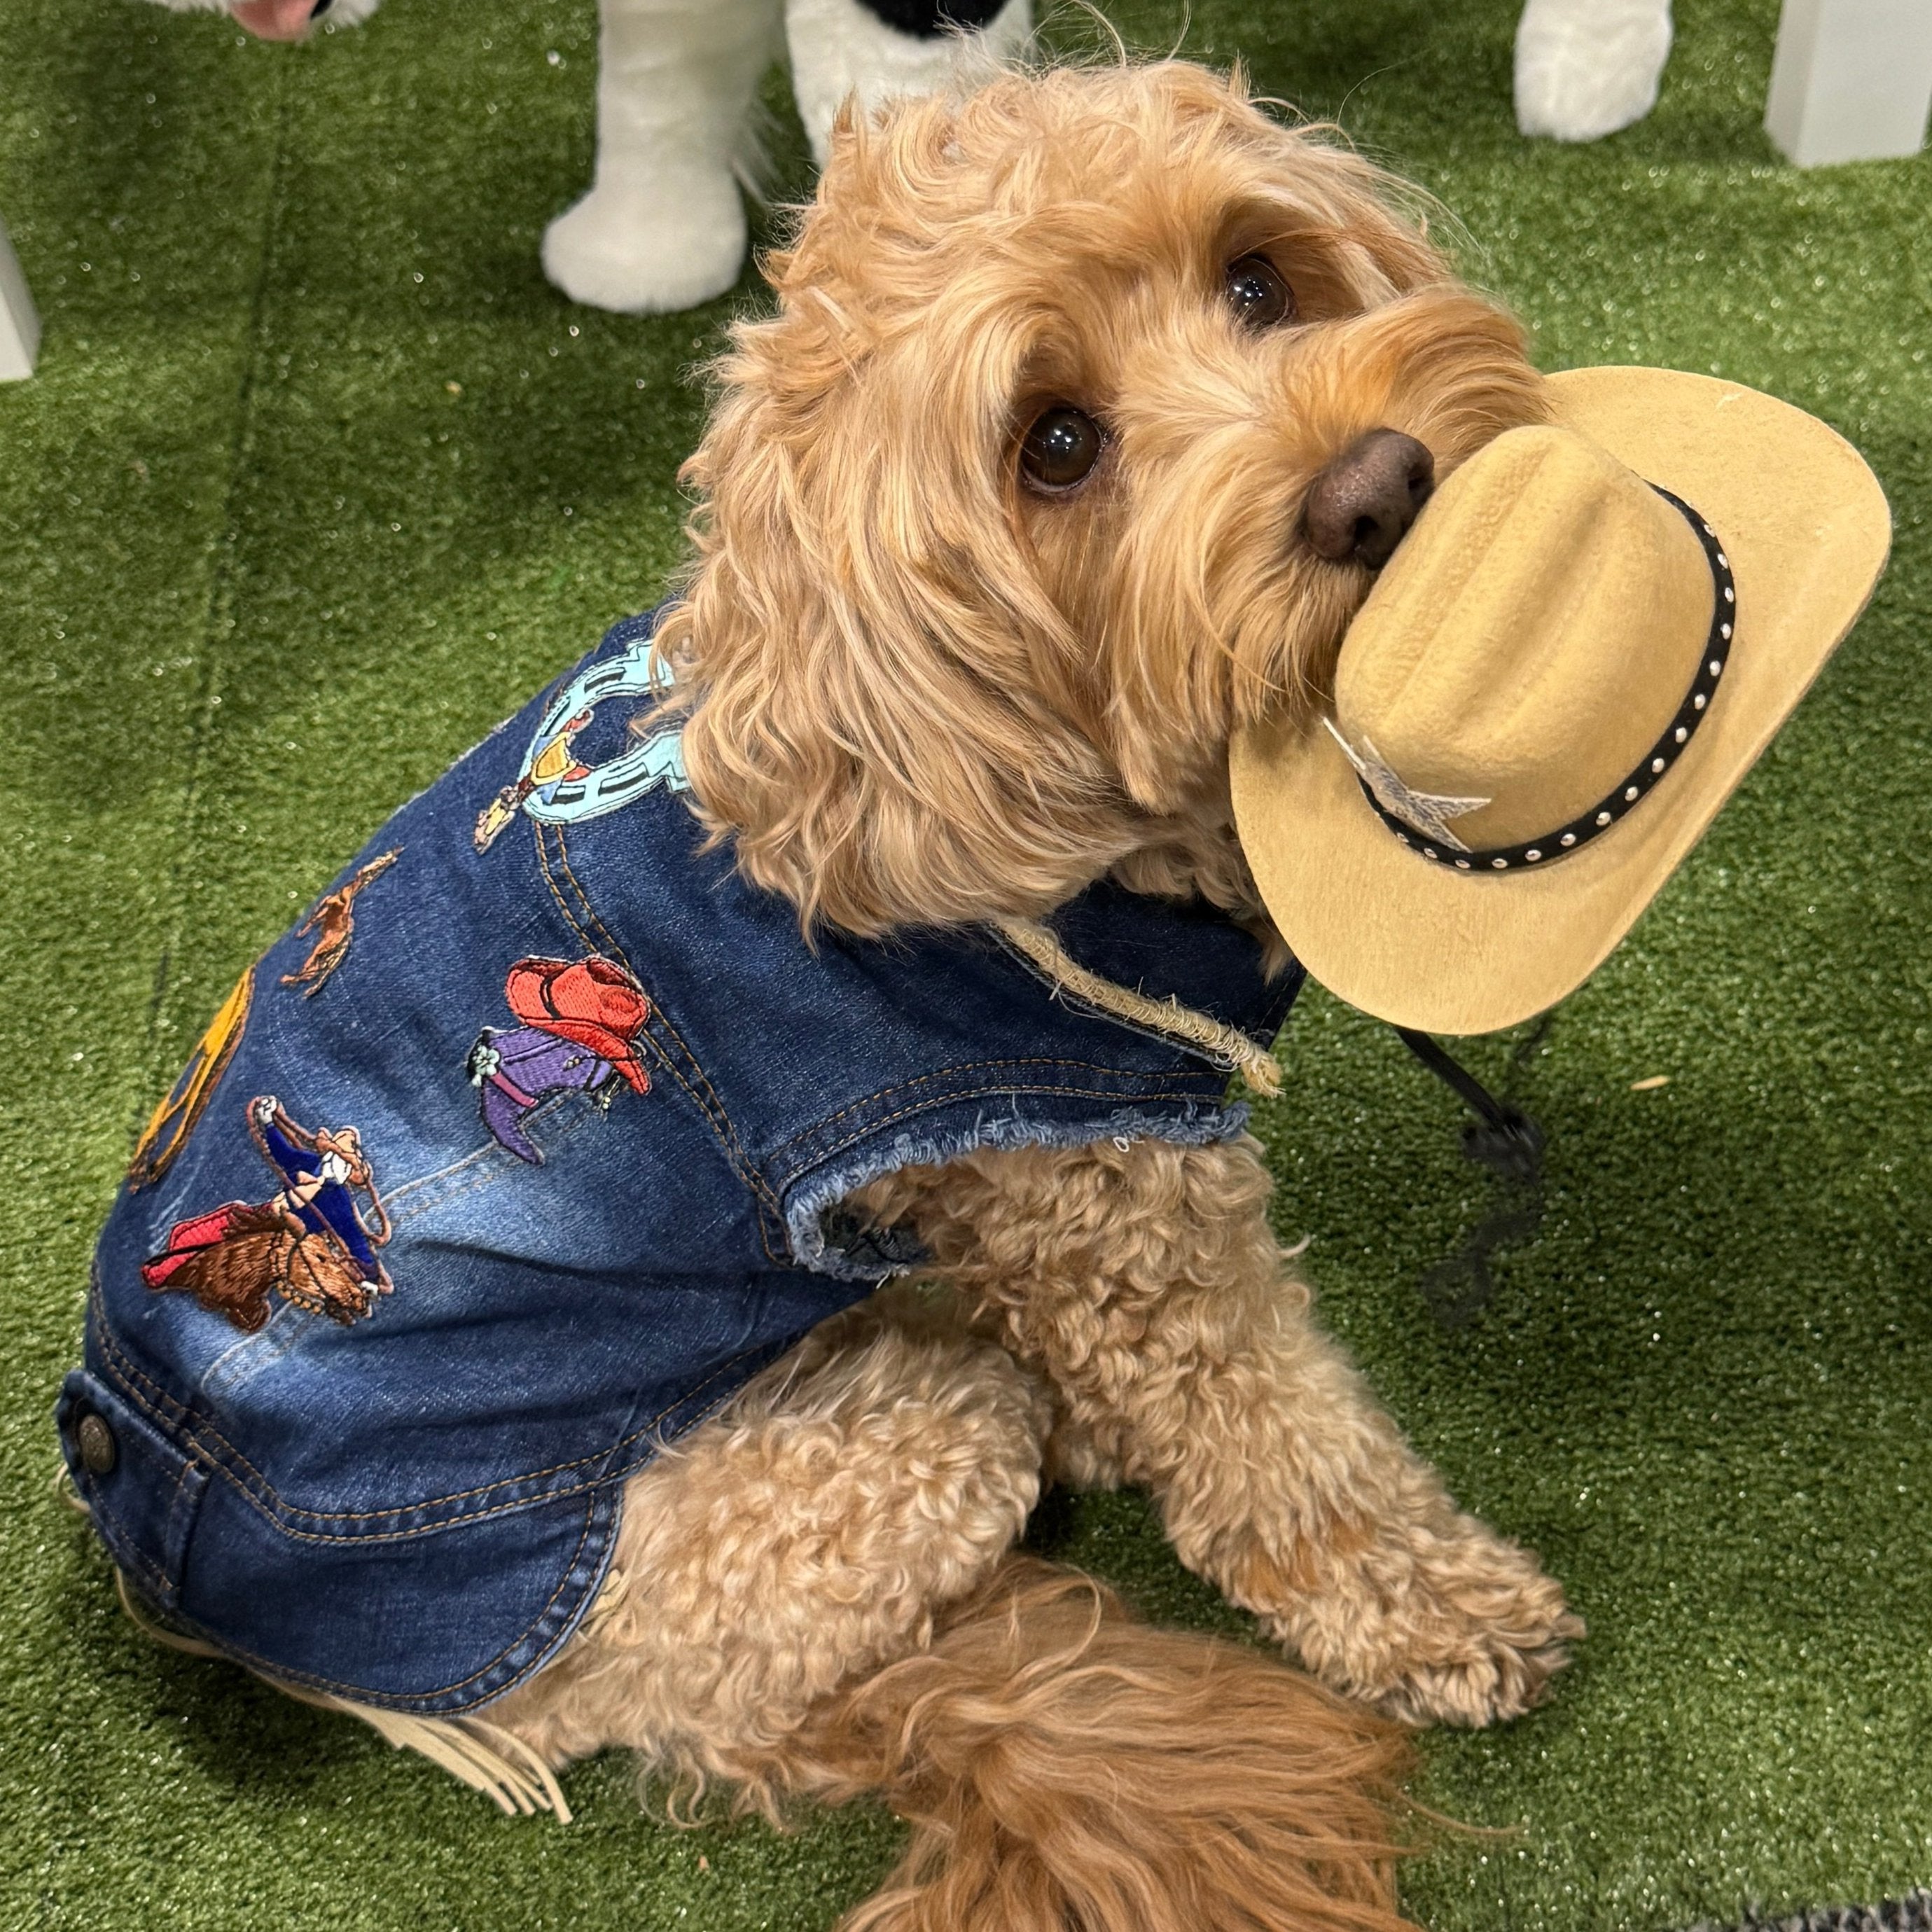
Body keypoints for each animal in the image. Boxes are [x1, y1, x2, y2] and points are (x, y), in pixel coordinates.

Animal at [475, 60, 1576, 1932]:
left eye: (1257, 278)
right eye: (1052, 446)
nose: (1374, 487)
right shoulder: (1117, 1215)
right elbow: (1280, 1447)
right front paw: (1436, 1608)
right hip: (865, 1465)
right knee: (808, 1701)